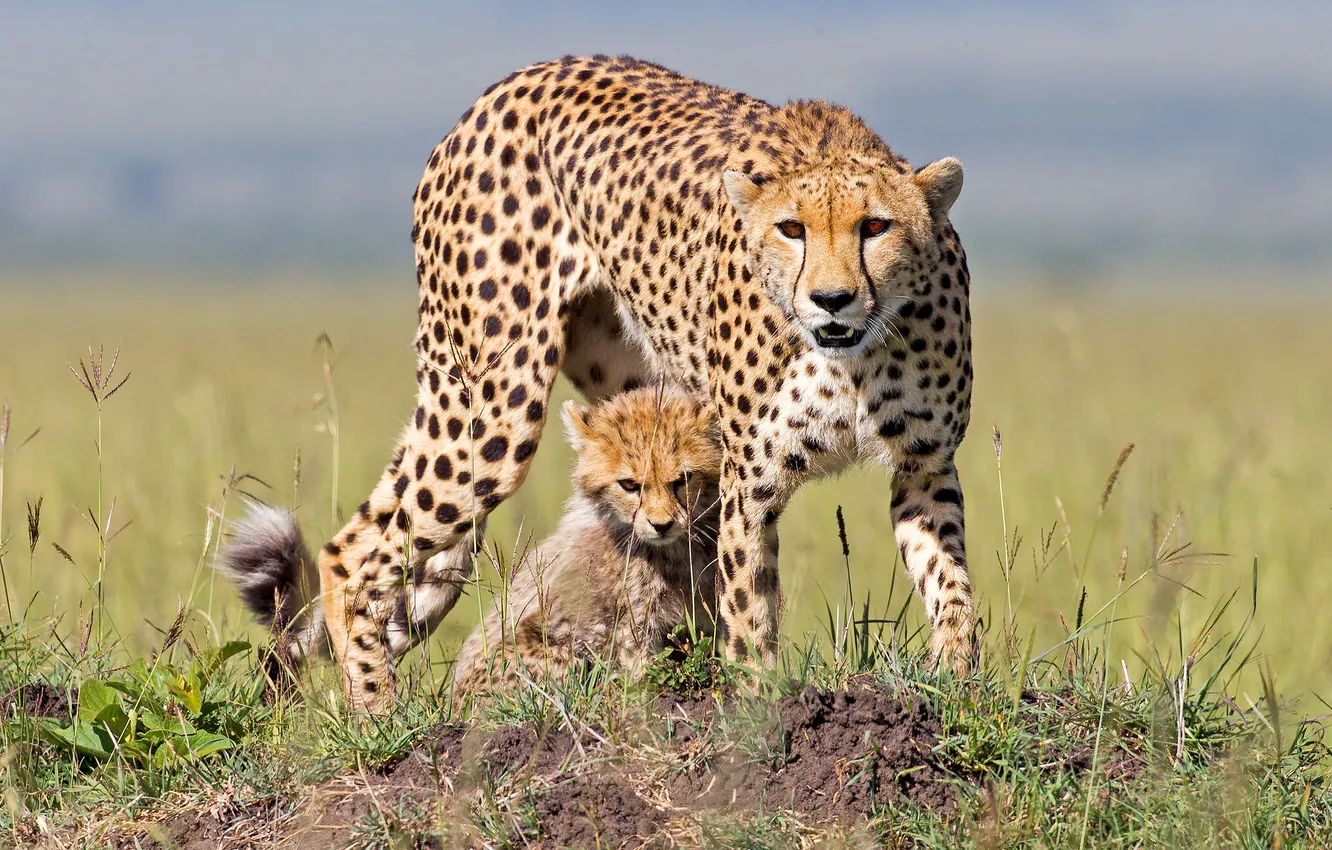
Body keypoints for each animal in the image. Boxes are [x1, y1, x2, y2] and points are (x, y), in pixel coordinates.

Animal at [452, 386, 720, 695]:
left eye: (683, 480)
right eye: (629, 485)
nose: (662, 525)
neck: (670, 551)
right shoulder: (630, 626)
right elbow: (643, 676)